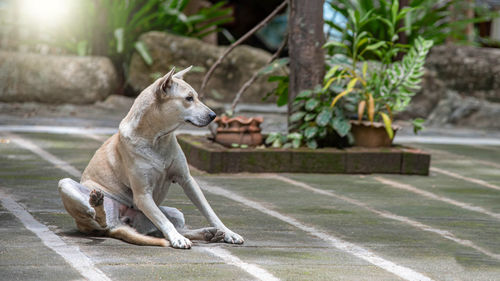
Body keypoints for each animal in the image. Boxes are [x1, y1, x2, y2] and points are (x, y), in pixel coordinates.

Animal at [58, 65, 244, 247]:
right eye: (189, 98)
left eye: (196, 97)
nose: (213, 116)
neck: (158, 138)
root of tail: (117, 224)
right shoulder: (143, 195)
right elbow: (163, 221)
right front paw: (177, 239)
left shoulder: (187, 180)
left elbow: (209, 210)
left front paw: (229, 233)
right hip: (66, 185)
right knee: (97, 218)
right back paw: (96, 202)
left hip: (174, 212)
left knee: (165, 229)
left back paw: (208, 233)